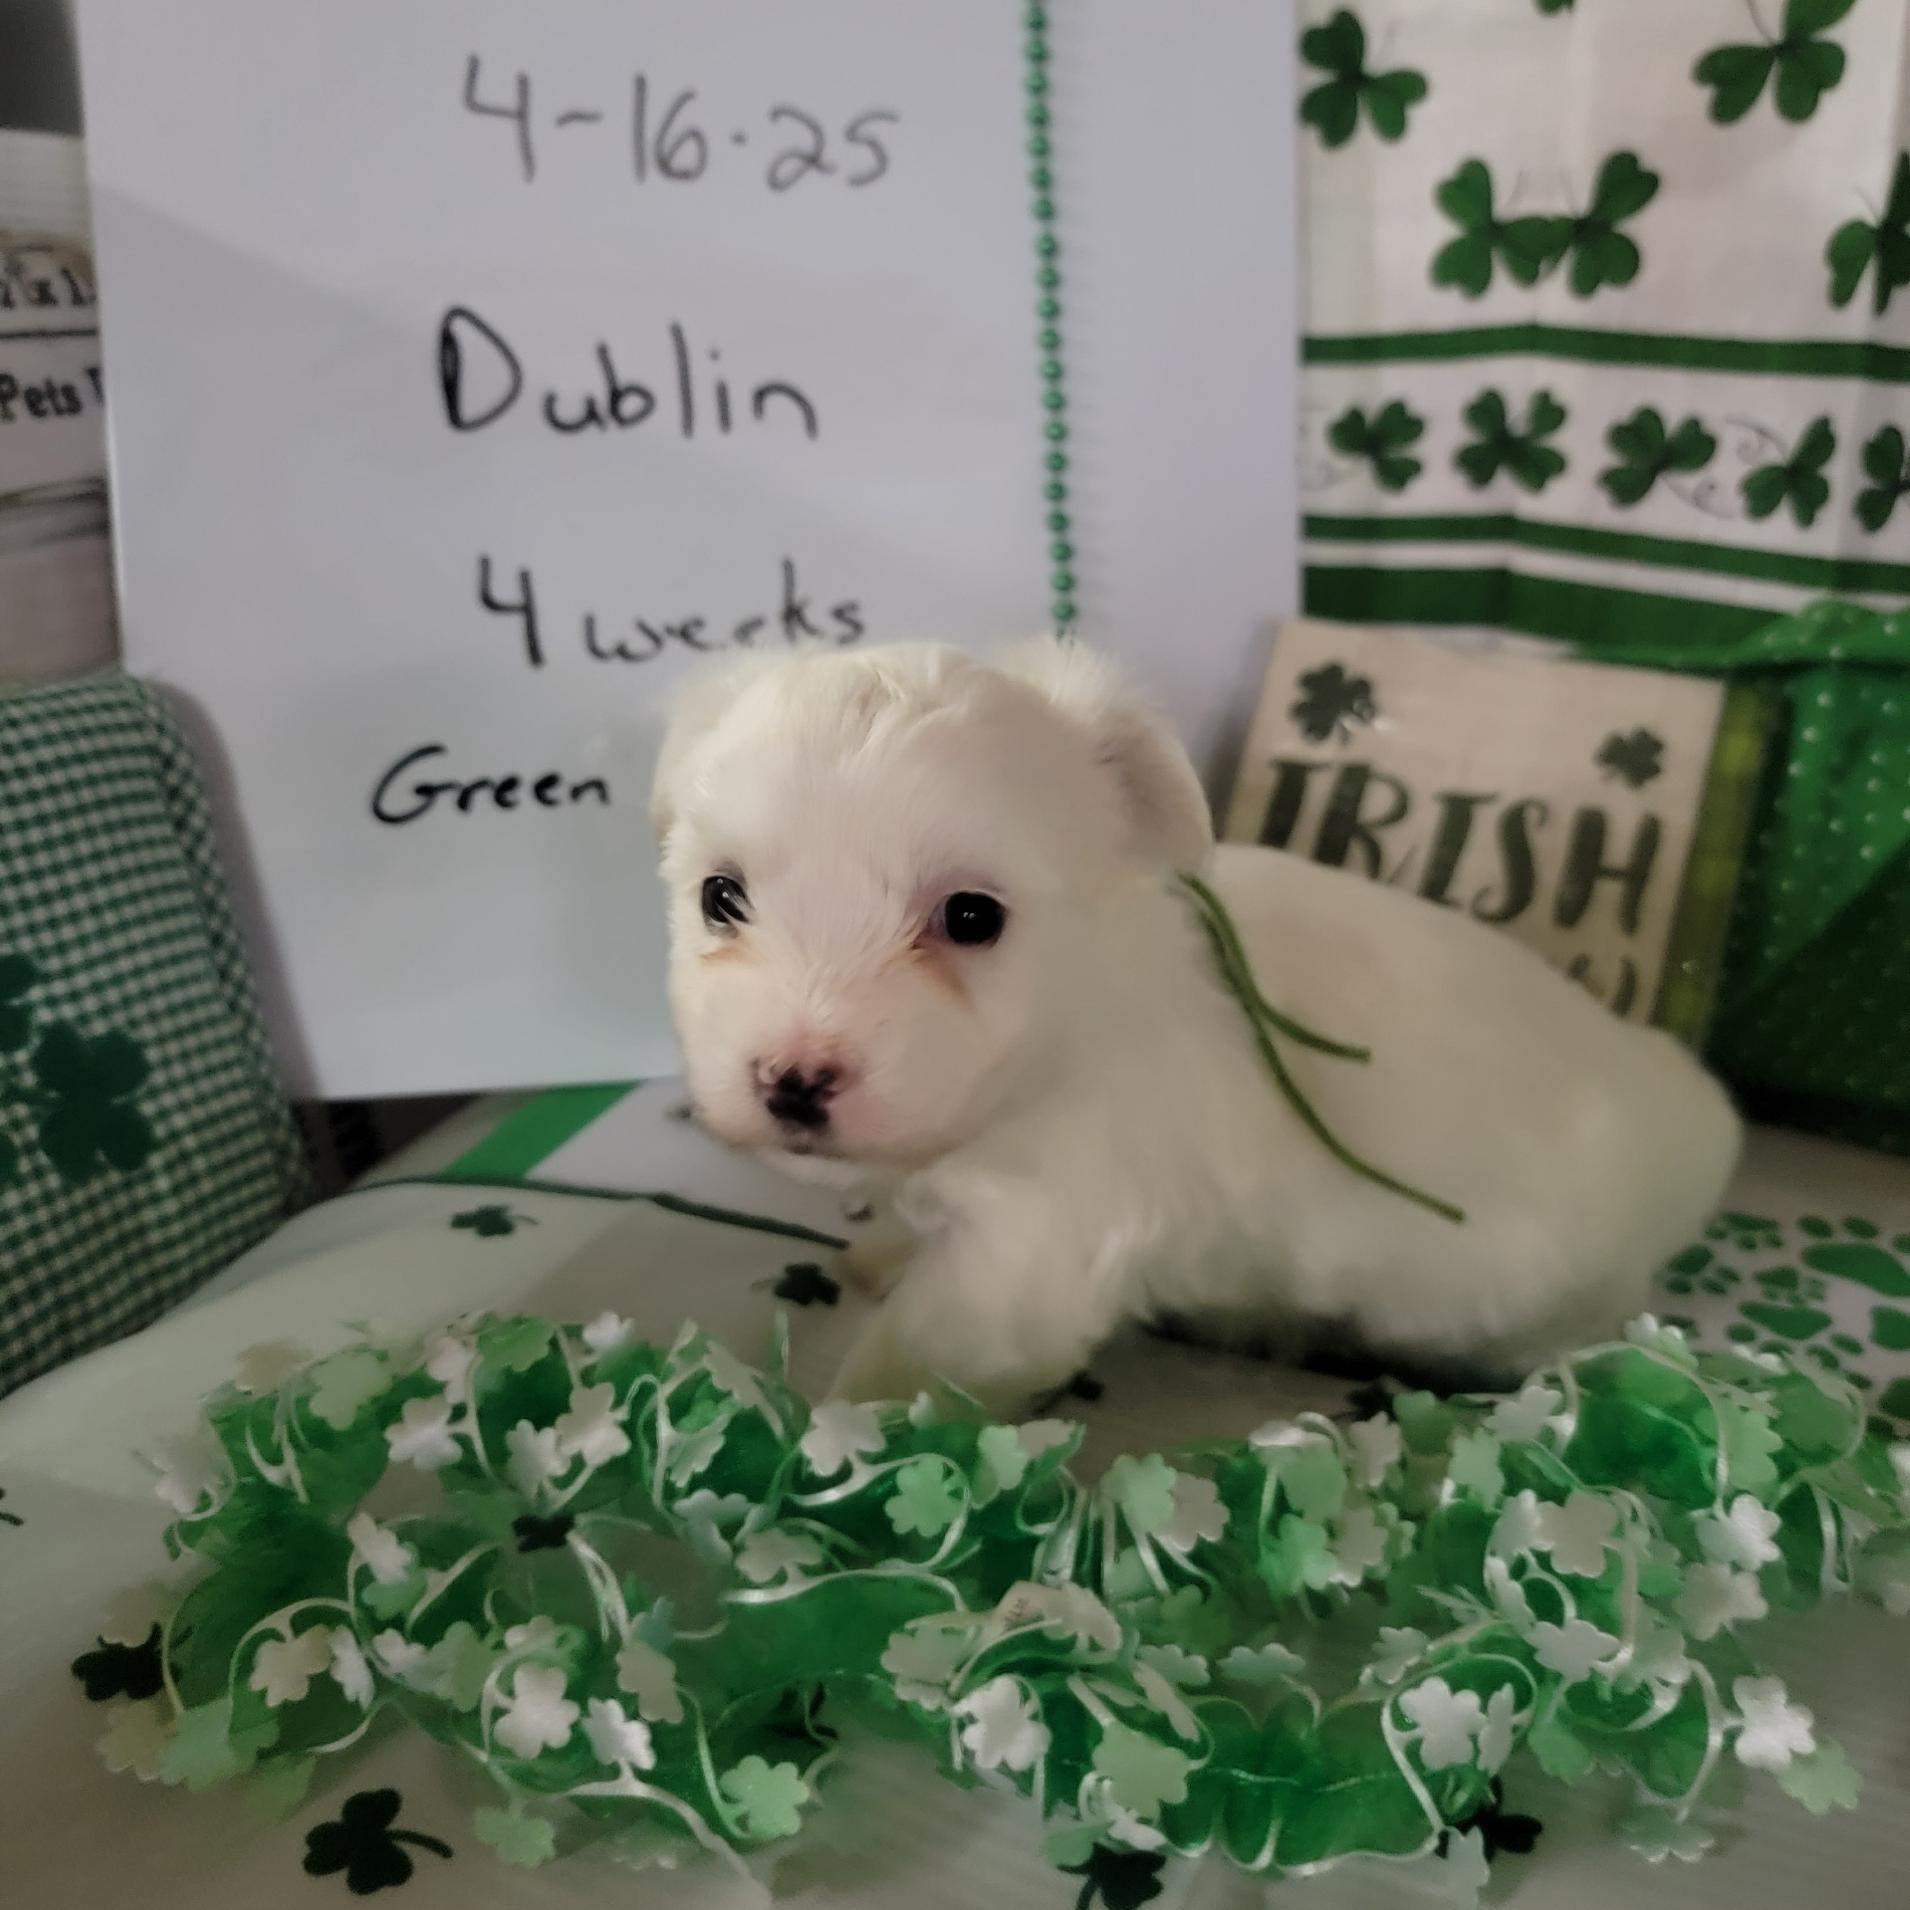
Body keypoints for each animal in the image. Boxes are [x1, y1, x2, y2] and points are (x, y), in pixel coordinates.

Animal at [651, 639, 1742, 1412]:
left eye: (970, 917)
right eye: (720, 897)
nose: (794, 1080)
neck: (1063, 1028)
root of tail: (1686, 1108)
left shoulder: (1034, 1243)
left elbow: (923, 1353)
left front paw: (848, 1441)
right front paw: (881, 1248)